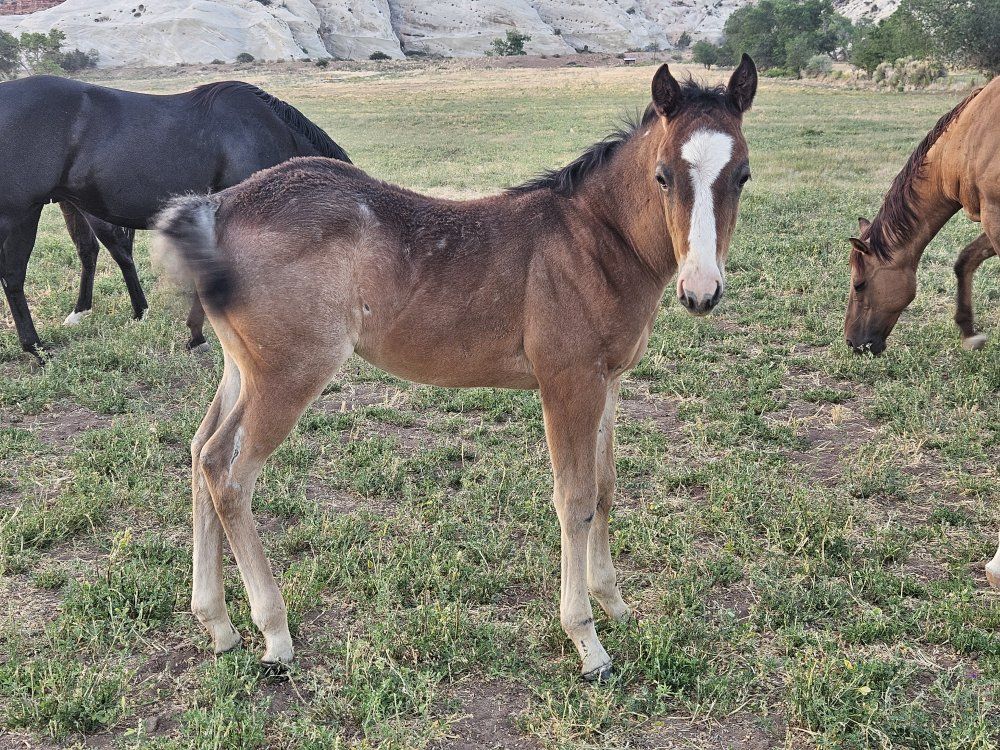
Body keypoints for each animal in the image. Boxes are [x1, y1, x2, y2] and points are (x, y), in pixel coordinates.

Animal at [0, 76, 351, 357]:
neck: (266, 132)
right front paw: (204, 337)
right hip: (19, 213)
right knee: (14, 275)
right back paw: (35, 347)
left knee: (85, 252)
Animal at [154, 57, 758, 680]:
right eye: (662, 175)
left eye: (742, 175)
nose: (701, 290)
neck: (594, 242)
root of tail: (217, 209)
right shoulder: (568, 383)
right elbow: (575, 500)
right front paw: (587, 641)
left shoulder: (608, 381)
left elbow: (607, 488)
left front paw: (614, 603)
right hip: (290, 374)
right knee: (230, 475)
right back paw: (274, 633)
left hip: (242, 370)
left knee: (203, 453)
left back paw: (218, 624)